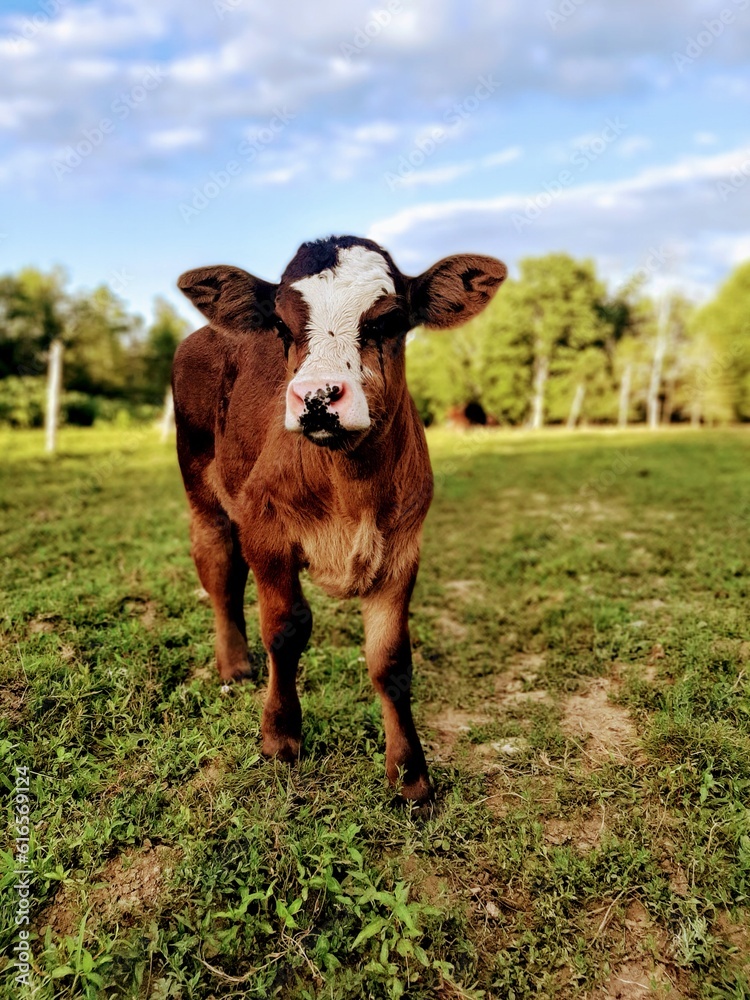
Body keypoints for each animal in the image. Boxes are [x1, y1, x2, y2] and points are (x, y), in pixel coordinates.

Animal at [172, 235, 506, 803]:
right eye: (282, 327)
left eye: (388, 321)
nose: (318, 397)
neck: (349, 486)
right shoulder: (264, 525)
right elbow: (286, 628)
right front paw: (280, 736)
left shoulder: (403, 544)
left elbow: (390, 659)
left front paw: (411, 775)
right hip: (202, 486)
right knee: (218, 564)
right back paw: (234, 665)